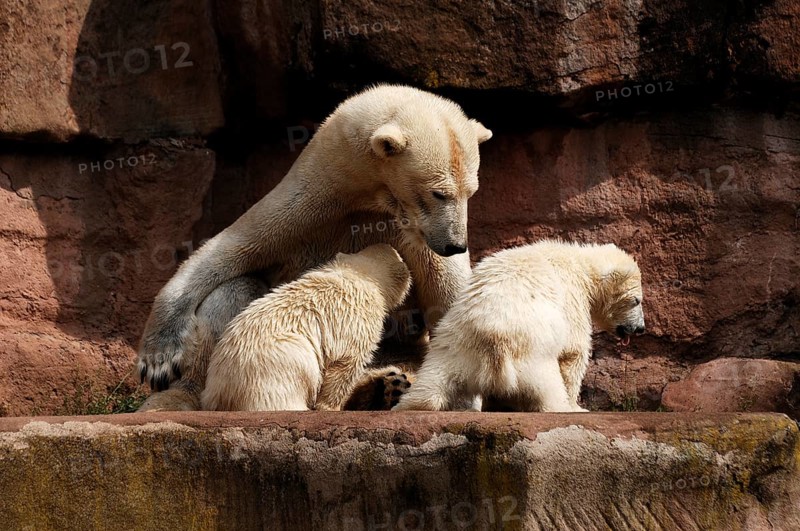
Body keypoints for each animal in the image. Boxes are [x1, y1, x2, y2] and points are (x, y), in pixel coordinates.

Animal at [200, 244, 411, 411]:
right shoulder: (357, 322)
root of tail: (218, 393)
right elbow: (346, 366)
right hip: (276, 367)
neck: (358, 276)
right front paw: (331, 407)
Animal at [393, 240, 646, 413]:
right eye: (637, 300)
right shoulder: (572, 299)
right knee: (548, 385)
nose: (641, 328)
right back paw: (562, 406)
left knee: (432, 379)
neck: (581, 265)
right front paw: (577, 405)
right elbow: (574, 352)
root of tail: (492, 340)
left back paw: (407, 404)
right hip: (533, 354)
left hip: (452, 344)